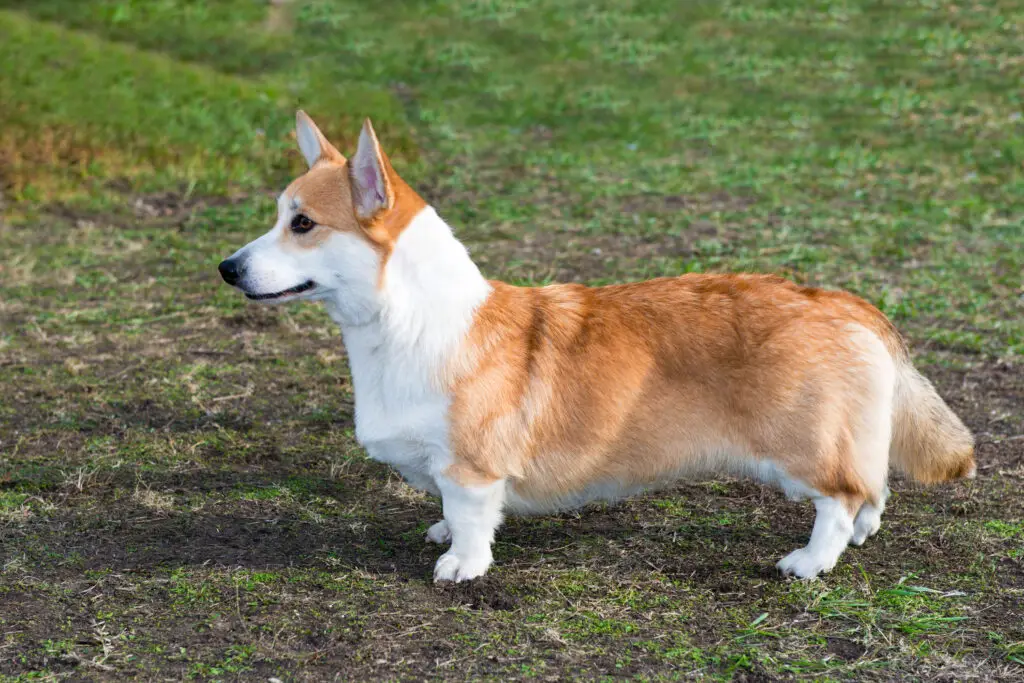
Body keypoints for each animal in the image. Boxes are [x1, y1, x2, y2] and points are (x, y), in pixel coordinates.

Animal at [218, 111, 974, 581]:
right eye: (278, 216)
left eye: (303, 224)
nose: (227, 268)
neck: (408, 321)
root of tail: (843, 302)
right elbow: (446, 511)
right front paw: (439, 534)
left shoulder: (472, 468)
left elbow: (469, 517)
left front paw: (461, 564)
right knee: (873, 487)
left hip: (802, 447)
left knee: (841, 498)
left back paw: (810, 562)